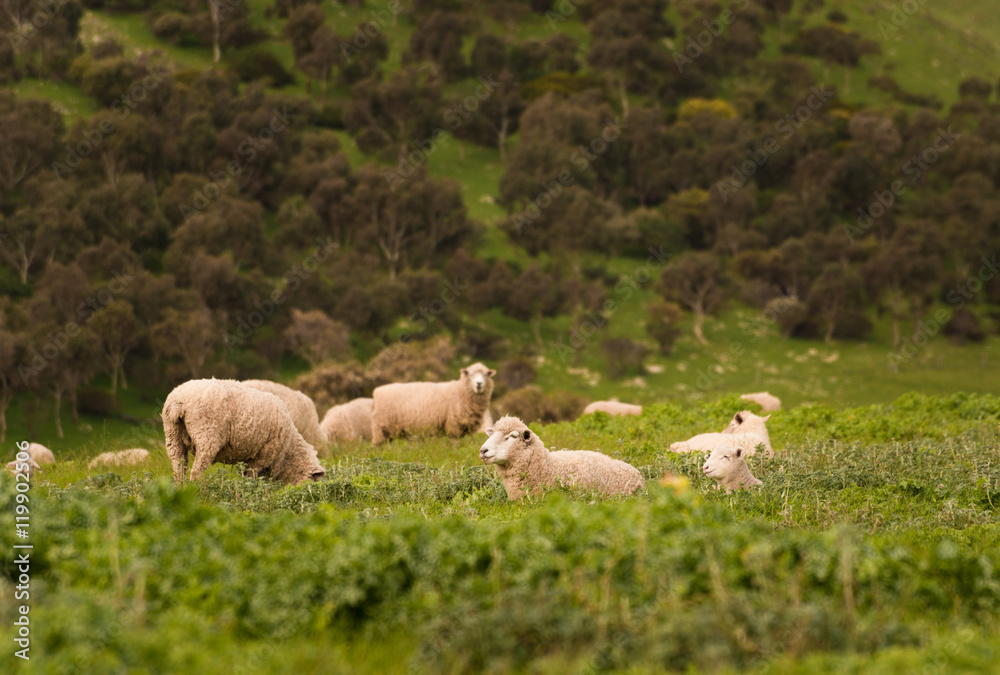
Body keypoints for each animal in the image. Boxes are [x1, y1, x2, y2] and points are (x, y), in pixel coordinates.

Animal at [162, 378, 325, 485]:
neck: (289, 451)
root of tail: (178, 401)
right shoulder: (263, 456)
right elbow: (253, 478)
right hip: (206, 436)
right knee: (196, 471)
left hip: (172, 435)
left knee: (178, 466)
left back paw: (181, 487)